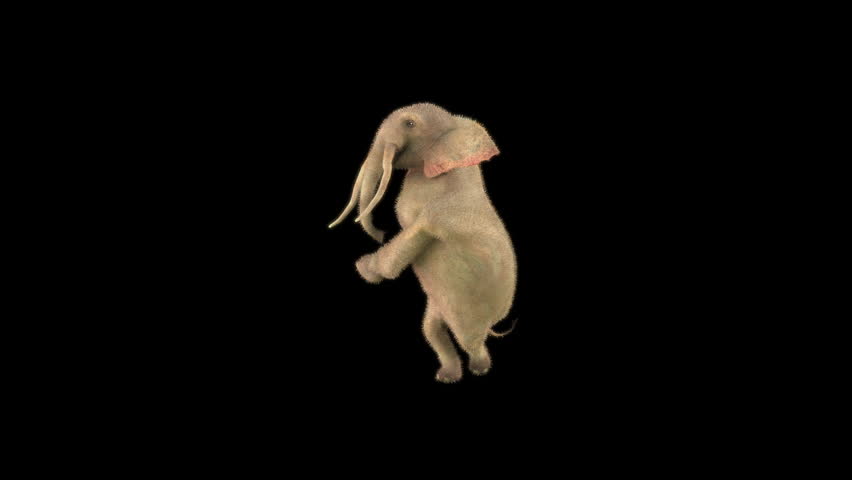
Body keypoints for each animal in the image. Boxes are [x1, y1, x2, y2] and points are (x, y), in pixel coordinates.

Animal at [328, 103, 517, 383]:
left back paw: (479, 369)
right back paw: (446, 376)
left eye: (409, 124)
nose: (380, 233)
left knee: (469, 339)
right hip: (439, 303)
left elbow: (416, 231)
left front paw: (364, 267)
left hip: (472, 310)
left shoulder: (443, 212)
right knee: (431, 329)